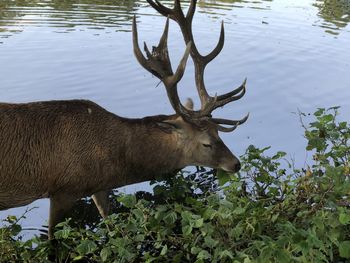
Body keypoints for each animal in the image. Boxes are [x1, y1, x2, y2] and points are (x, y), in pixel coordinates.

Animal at [0, 0, 247, 240]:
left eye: (218, 133)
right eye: (206, 143)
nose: (235, 163)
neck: (114, 163)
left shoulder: (99, 186)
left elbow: (111, 224)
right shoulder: (63, 190)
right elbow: (53, 239)